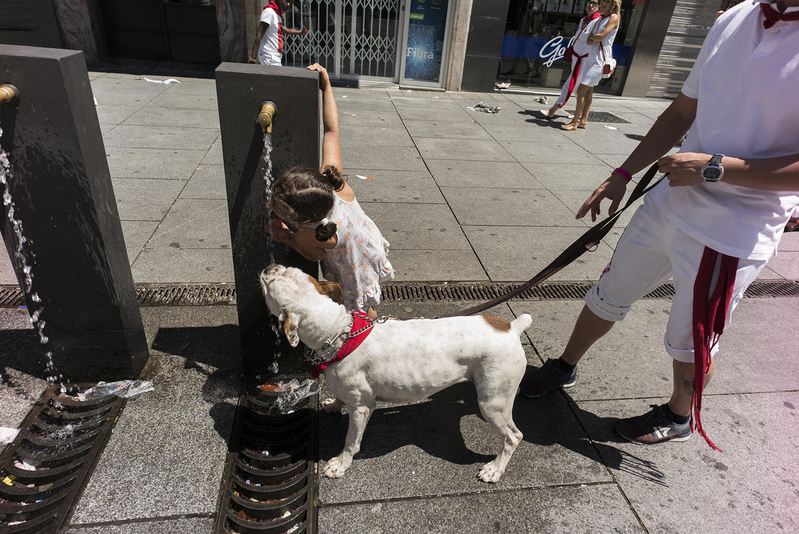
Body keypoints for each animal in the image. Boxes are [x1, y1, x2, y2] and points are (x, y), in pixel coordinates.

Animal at [260, 264, 532, 486]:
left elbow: (350, 441)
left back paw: (495, 469)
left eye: (271, 285)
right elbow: (339, 399)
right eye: (290, 270)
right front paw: (333, 405)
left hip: (492, 403)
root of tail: (512, 329)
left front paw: (340, 464)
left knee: (513, 436)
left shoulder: (362, 408)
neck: (338, 333)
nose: (271, 267)